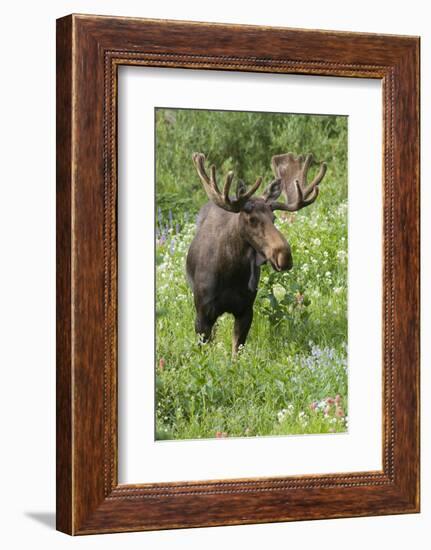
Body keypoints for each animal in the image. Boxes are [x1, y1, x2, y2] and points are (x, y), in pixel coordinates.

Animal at [186, 153, 328, 356]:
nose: (285, 255)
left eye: (274, 218)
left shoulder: (246, 310)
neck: (231, 274)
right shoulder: (203, 313)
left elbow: (236, 353)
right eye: (252, 219)